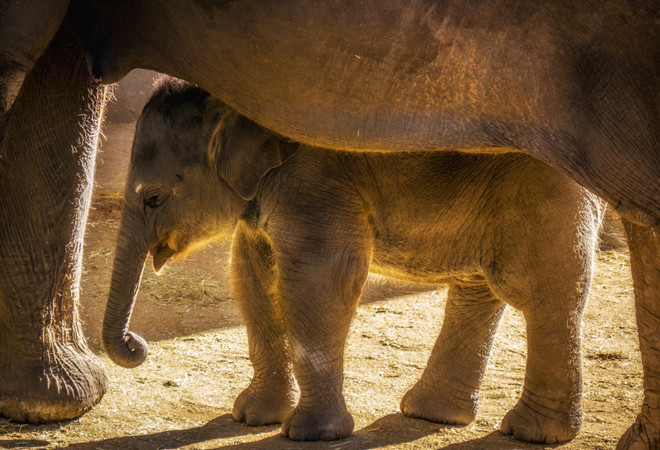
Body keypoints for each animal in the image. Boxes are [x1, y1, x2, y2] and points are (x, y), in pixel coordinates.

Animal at [103, 79, 604, 444]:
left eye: (153, 198)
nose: (137, 343)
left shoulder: (316, 179)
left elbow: (321, 277)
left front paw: (310, 435)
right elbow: (251, 274)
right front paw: (251, 418)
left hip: (546, 188)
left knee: (540, 295)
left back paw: (530, 434)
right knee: (478, 290)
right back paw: (430, 414)